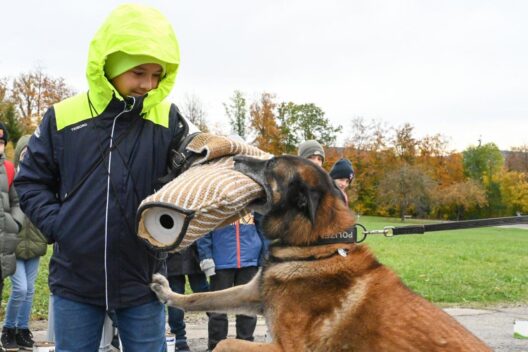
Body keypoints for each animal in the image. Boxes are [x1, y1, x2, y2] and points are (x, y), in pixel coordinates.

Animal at [150, 155, 490, 350]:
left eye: (270, 165)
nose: (233, 157)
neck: (314, 248)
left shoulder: (287, 348)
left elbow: (226, 342)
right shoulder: (252, 294)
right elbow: (202, 298)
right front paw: (168, 293)